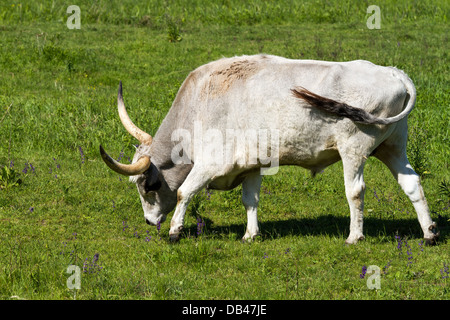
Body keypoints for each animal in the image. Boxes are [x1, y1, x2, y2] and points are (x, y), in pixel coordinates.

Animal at [99, 55, 440, 245]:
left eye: (149, 186)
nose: (149, 221)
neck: (199, 103)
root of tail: (393, 72)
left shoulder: (211, 163)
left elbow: (185, 191)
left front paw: (174, 232)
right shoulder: (250, 164)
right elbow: (250, 200)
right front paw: (250, 235)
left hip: (353, 149)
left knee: (355, 191)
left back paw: (354, 236)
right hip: (393, 148)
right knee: (412, 184)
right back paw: (430, 233)